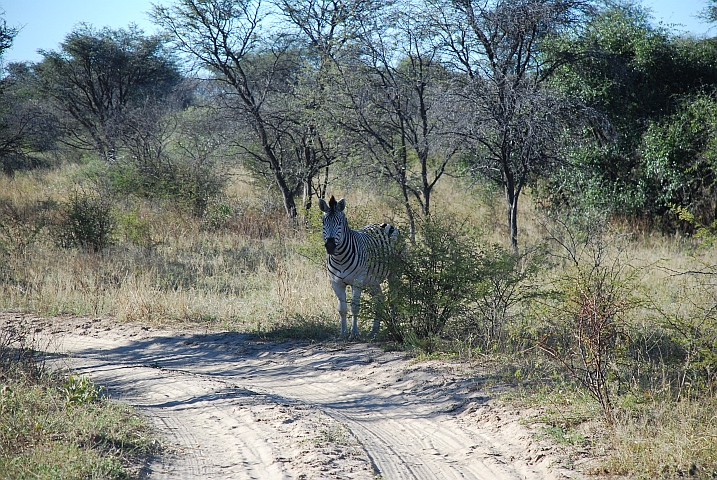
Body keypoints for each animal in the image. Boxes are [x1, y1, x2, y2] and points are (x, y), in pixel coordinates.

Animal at [319, 195, 399, 338]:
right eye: (323, 222)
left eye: (340, 223)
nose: (330, 246)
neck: (339, 258)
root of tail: (383, 223)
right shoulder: (335, 282)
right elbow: (342, 309)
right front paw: (343, 333)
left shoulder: (357, 281)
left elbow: (355, 307)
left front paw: (354, 333)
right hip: (372, 280)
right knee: (379, 300)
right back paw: (374, 331)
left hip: (393, 273)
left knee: (393, 298)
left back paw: (394, 327)